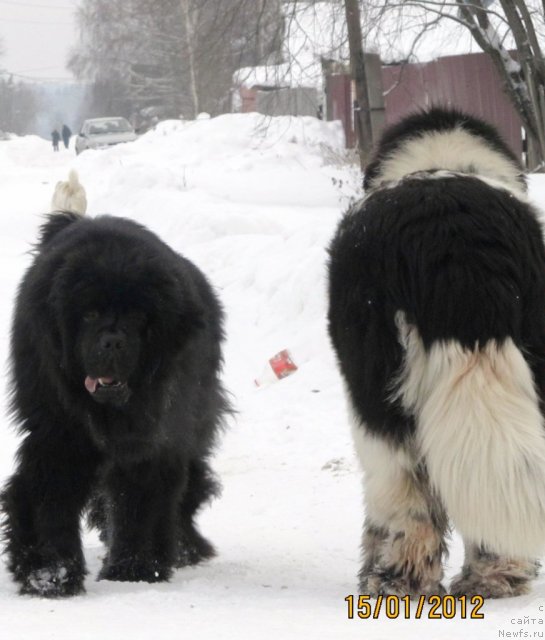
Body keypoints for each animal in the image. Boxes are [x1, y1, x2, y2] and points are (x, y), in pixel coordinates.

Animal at [1, 182, 230, 596]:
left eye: (139, 317)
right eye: (89, 314)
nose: (112, 342)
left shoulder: (155, 436)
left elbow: (140, 497)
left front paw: (136, 569)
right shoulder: (58, 432)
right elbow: (47, 494)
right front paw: (50, 575)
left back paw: (185, 547)